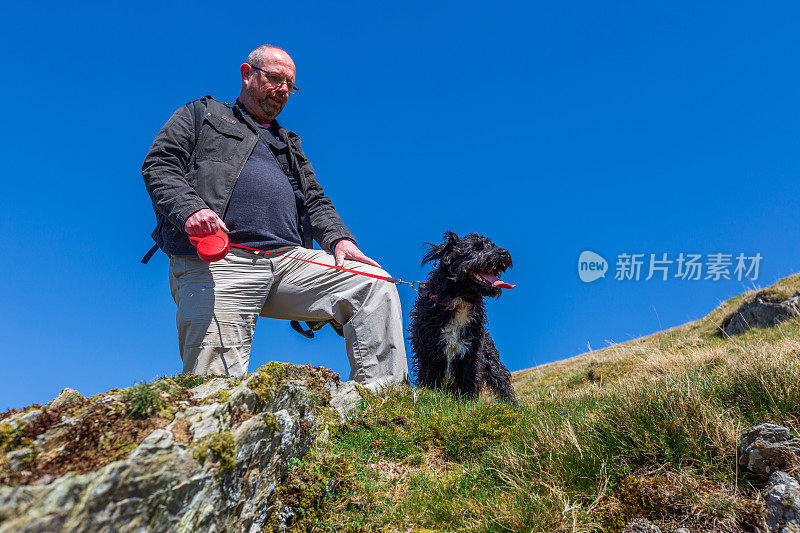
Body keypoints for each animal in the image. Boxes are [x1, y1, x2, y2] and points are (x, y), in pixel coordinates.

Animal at [410, 231, 516, 402]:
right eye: (476, 248)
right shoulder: (429, 353)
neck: (459, 302)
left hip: (492, 360)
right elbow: (430, 379)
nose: (504, 253)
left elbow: (469, 381)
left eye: (492, 245)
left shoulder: (472, 354)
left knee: (502, 383)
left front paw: (468, 402)